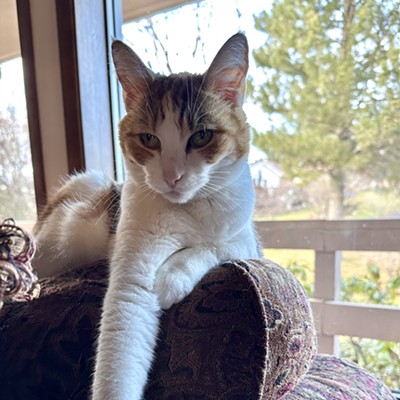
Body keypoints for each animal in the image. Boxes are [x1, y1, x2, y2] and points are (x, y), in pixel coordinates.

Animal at [31, 33, 260, 400]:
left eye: (202, 136)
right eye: (149, 139)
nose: (172, 177)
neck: (188, 210)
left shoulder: (248, 242)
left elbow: (216, 246)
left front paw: (173, 275)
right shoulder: (131, 277)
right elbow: (126, 320)